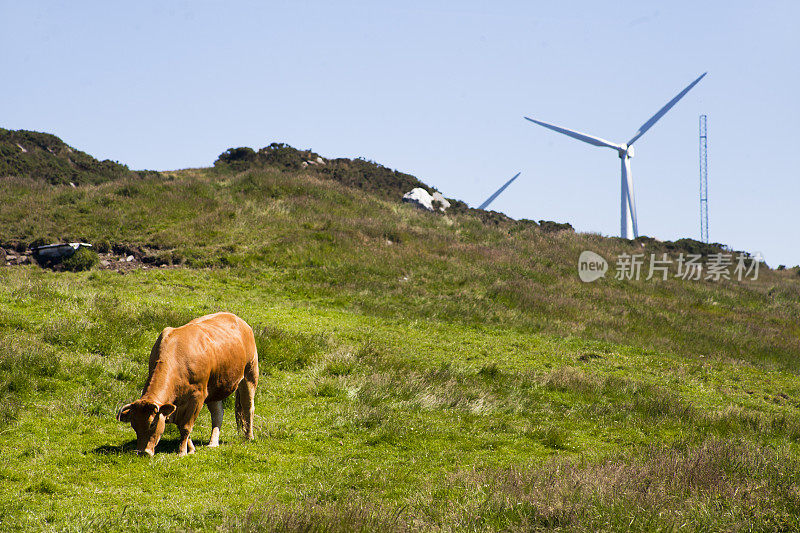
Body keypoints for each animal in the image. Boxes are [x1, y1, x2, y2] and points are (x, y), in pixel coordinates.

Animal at [115, 312, 258, 458]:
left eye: (153, 423)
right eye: (134, 425)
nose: (142, 452)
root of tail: (236, 318)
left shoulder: (197, 396)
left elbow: (186, 426)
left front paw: (182, 451)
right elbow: (181, 425)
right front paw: (191, 449)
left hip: (250, 373)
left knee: (248, 407)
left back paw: (248, 437)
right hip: (215, 386)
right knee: (218, 413)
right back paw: (213, 443)